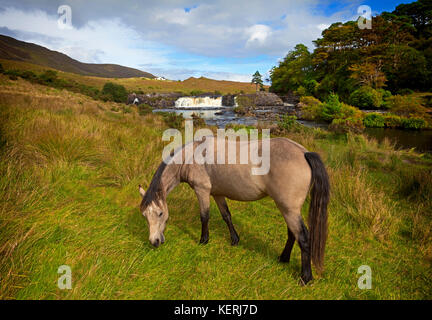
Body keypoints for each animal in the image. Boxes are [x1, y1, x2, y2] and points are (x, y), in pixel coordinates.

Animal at [139, 136, 330, 284]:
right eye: (145, 216)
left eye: (160, 213)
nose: (154, 241)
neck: (192, 155)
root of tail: (303, 153)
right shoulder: (217, 194)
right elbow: (226, 216)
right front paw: (235, 240)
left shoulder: (202, 191)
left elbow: (204, 216)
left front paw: (203, 240)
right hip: (287, 209)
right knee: (292, 233)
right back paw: (283, 258)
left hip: (289, 209)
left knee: (303, 237)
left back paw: (305, 277)